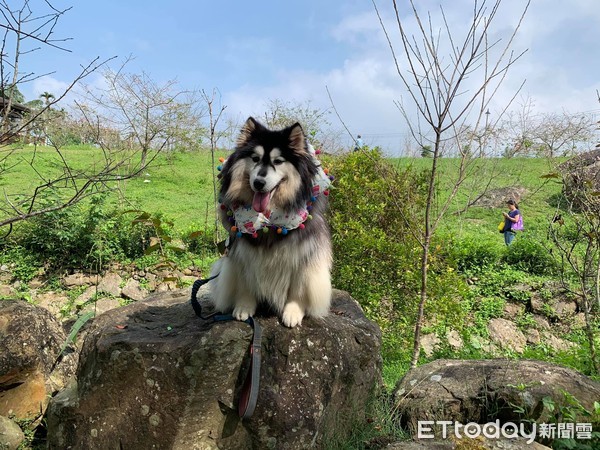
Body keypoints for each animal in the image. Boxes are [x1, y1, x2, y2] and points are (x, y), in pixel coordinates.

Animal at [210, 116, 332, 326]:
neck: (269, 223)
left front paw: (293, 311)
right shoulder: (241, 254)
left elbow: (298, 288)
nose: (258, 183)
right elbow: (246, 283)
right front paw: (244, 307)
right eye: (255, 158)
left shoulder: (304, 255)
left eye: (278, 161)